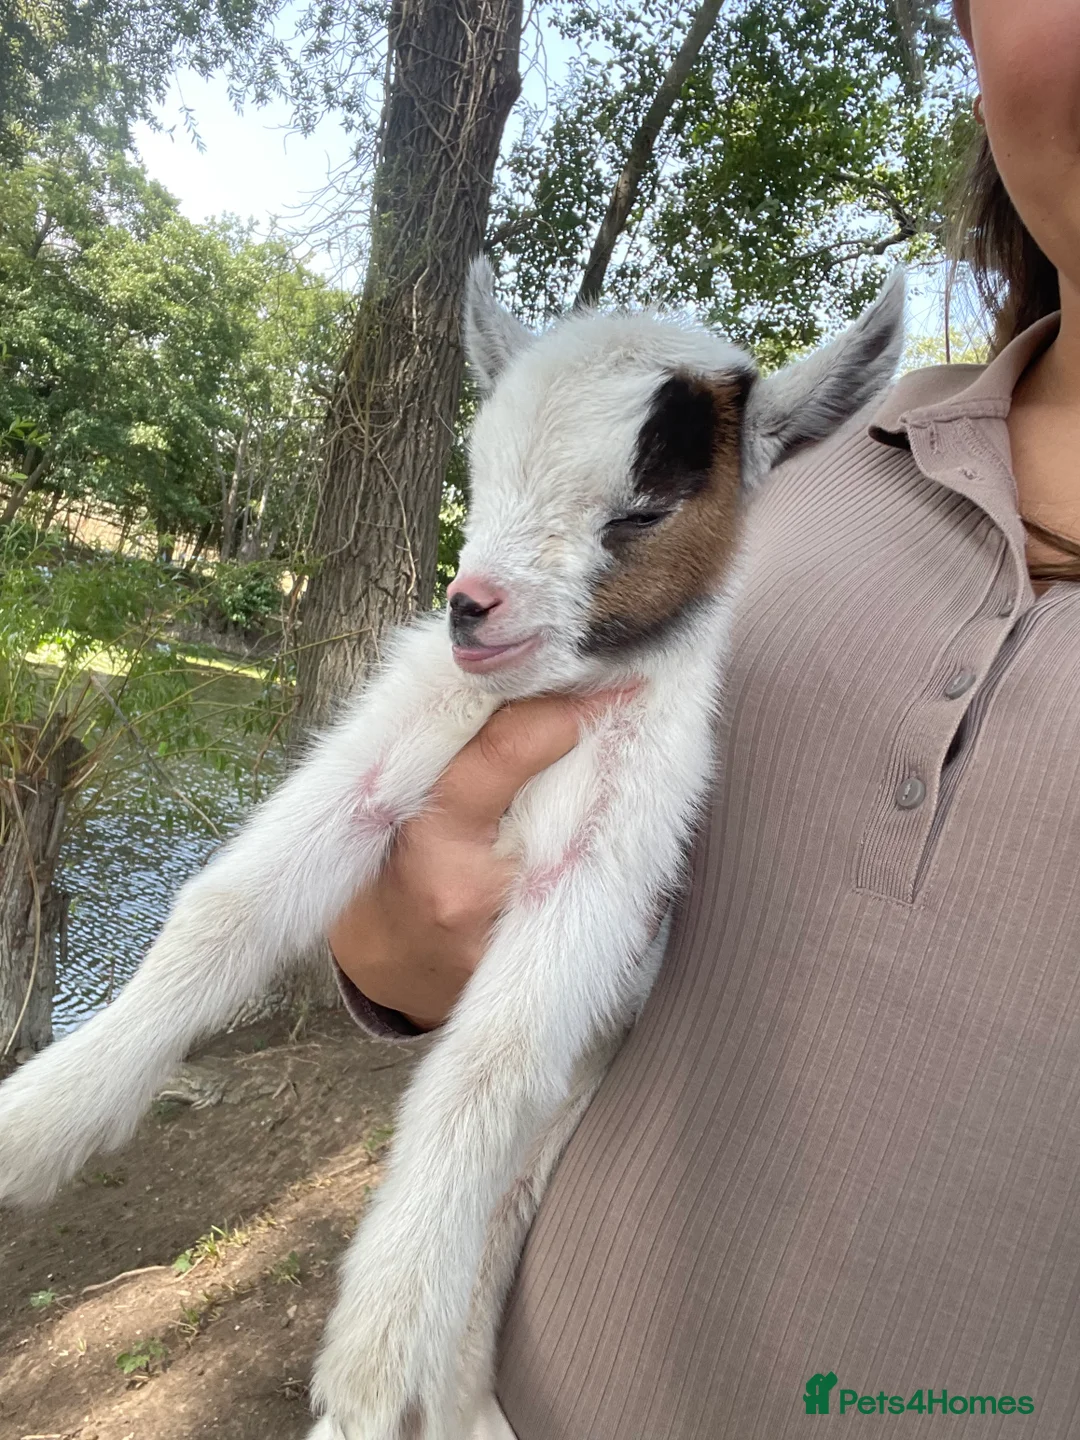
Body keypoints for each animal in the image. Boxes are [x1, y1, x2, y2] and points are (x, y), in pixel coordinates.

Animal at [0, 257, 904, 1440]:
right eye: (480, 473)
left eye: (645, 508)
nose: (472, 608)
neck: (551, 693)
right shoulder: (399, 735)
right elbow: (224, 910)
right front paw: (34, 1127)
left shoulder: (616, 855)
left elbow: (488, 1062)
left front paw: (375, 1353)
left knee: (509, 1198)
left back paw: (458, 1402)